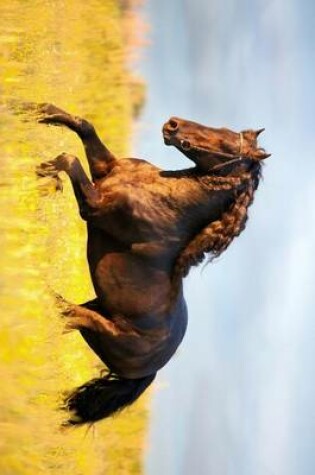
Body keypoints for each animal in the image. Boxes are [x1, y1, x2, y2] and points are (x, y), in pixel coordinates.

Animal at [34, 104, 272, 424]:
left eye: (228, 143)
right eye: (225, 130)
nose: (173, 124)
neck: (164, 194)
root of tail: (152, 369)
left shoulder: (93, 207)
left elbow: (69, 159)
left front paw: (45, 176)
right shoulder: (105, 170)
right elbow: (82, 125)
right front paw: (35, 112)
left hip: (96, 325)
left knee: (62, 311)